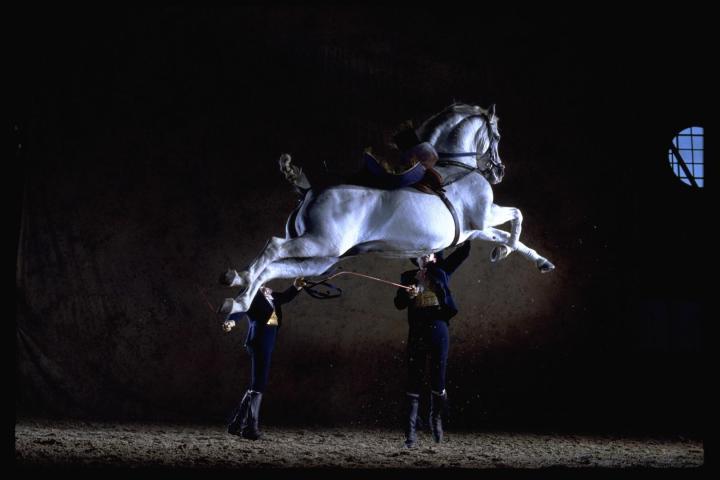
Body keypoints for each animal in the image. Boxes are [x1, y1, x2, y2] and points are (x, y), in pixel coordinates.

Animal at [219, 103, 554, 316]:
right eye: (496, 136)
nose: (499, 172)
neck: (455, 167)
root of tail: (309, 191)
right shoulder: (485, 217)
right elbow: (517, 216)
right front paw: (503, 251)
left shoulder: (474, 230)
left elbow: (509, 234)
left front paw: (536, 260)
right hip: (319, 244)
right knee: (273, 248)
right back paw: (239, 280)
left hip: (319, 260)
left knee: (273, 268)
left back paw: (237, 300)